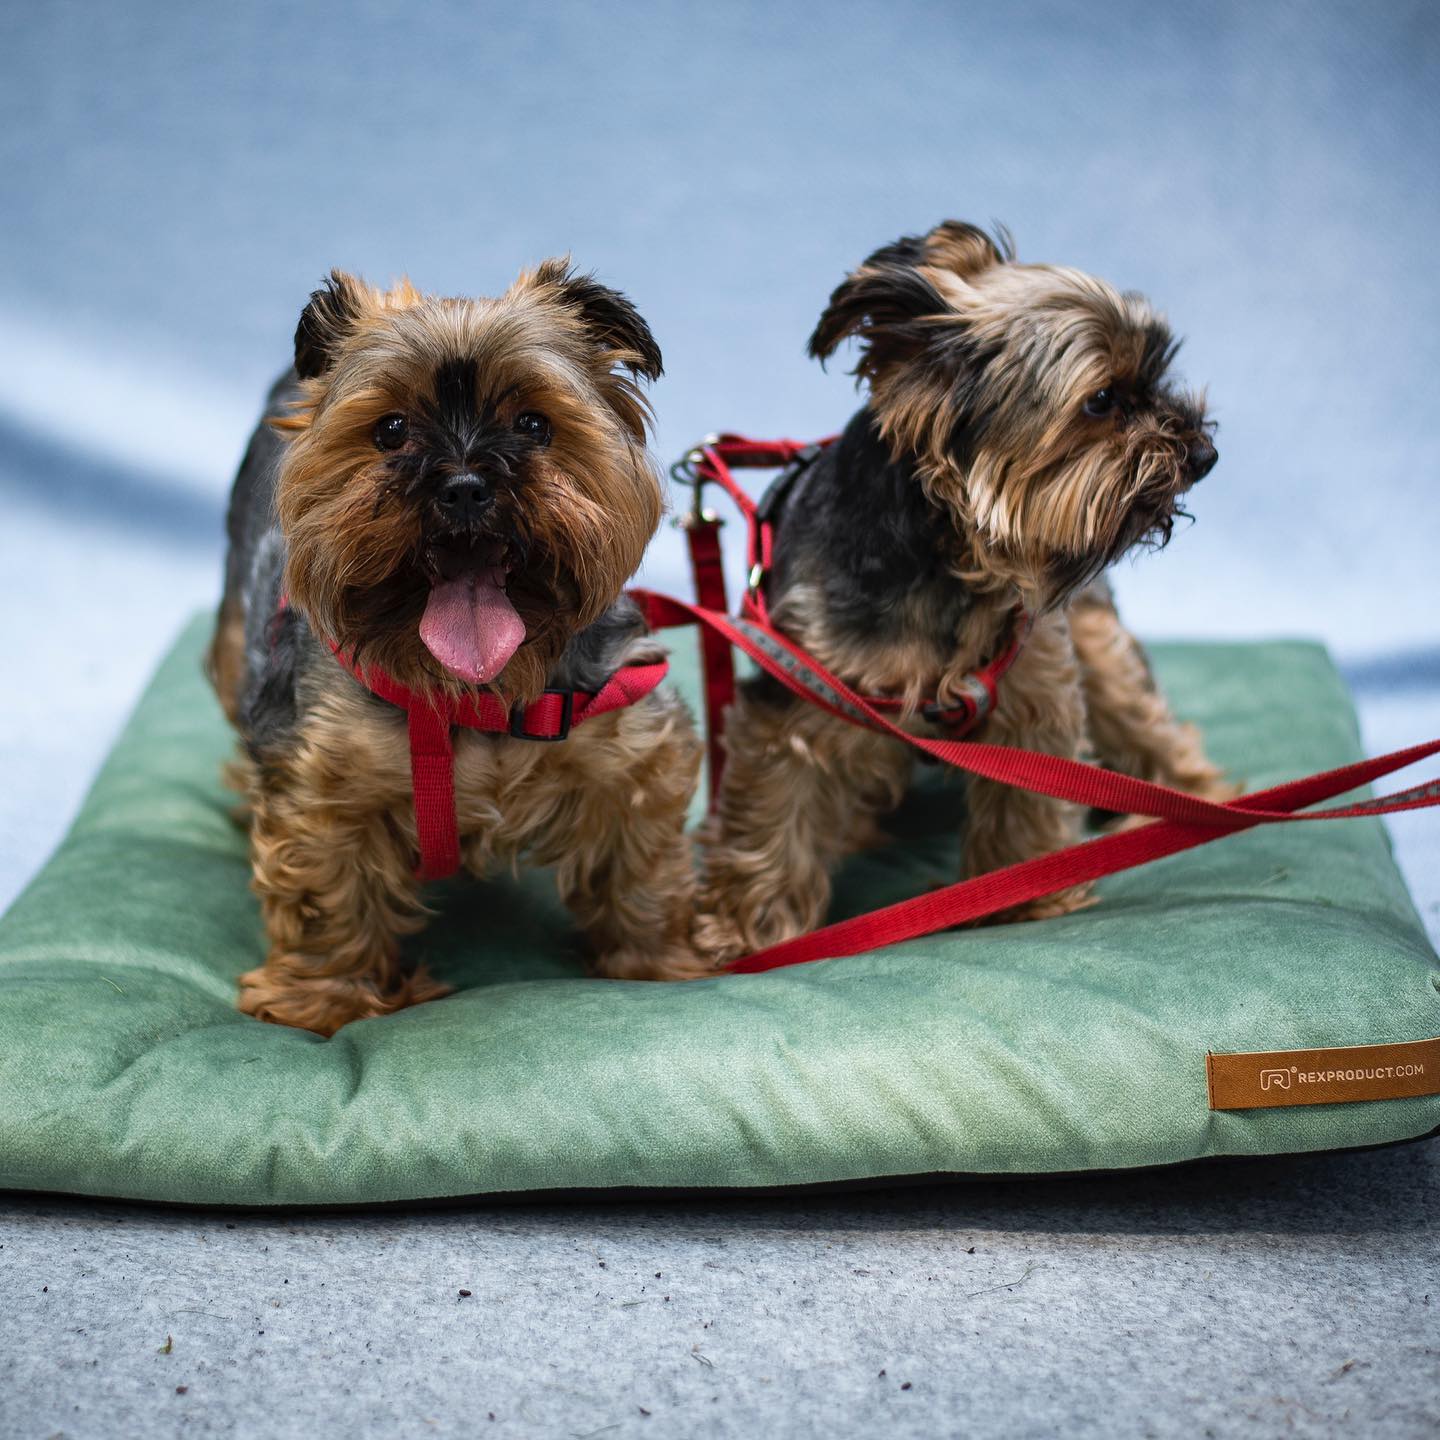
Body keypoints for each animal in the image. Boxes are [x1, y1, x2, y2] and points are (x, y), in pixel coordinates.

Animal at [210, 259, 705, 1036]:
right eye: (390, 430)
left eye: (534, 424)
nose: (466, 486)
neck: (480, 691)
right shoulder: (325, 775)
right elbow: (326, 889)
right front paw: (325, 998)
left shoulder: (625, 736)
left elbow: (642, 862)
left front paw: (660, 962)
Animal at [696, 218, 1238, 961]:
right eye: (1102, 400)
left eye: (1157, 378)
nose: (1205, 455)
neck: (955, 560)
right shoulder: (802, 688)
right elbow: (777, 810)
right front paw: (746, 925)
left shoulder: (1035, 680)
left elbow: (1028, 793)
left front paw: (1025, 889)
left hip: (1095, 643)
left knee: (1147, 720)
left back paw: (1187, 801)